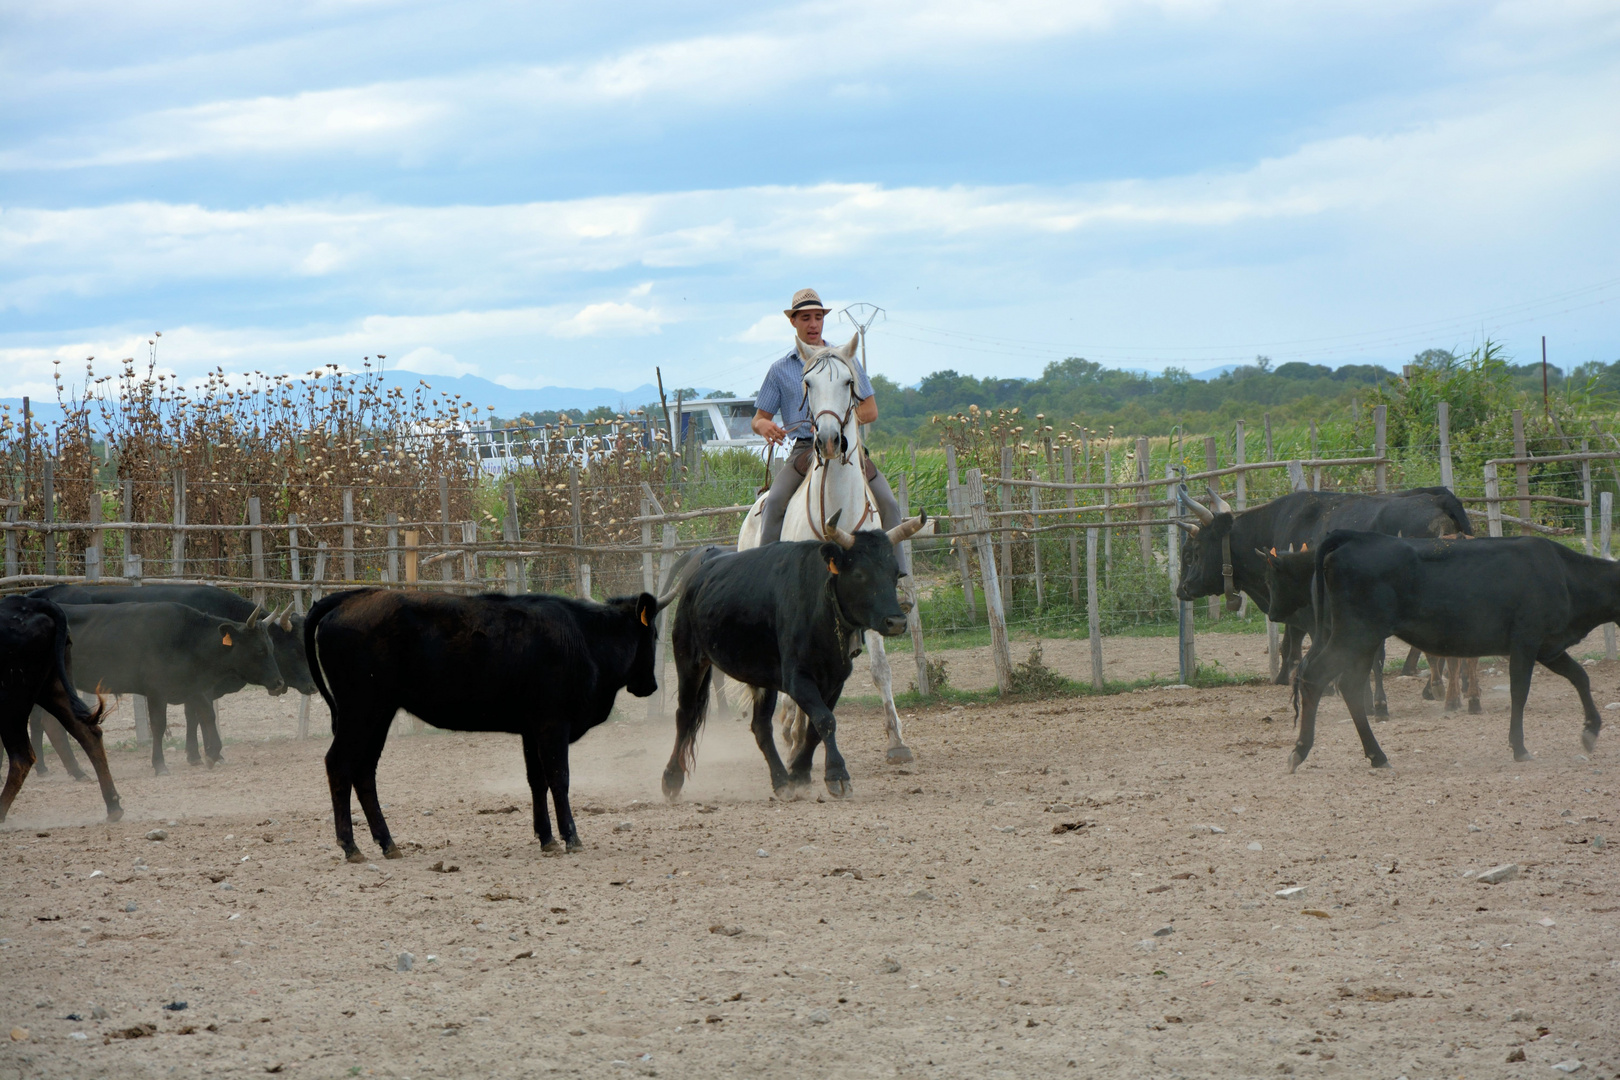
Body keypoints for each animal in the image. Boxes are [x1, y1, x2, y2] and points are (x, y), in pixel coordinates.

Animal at [741, 333, 920, 764]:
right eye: (807, 384)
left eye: (850, 382)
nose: (827, 439)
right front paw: (798, 740)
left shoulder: (873, 599)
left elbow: (879, 668)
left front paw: (897, 741)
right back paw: (788, 730)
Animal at [1289, 531, 1607, 767]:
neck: (1564, 573)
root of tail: (1354, 537)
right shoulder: (1526, 642)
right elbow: (1520, 691)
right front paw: (1519, 747)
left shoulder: (1549, 647)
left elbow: (1580, 676)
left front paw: (1591, 729)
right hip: (1356, 634)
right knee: (1319, 676)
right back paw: (1309, 750)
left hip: (1361, 639)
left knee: (1346, 684)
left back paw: (1370, 754)